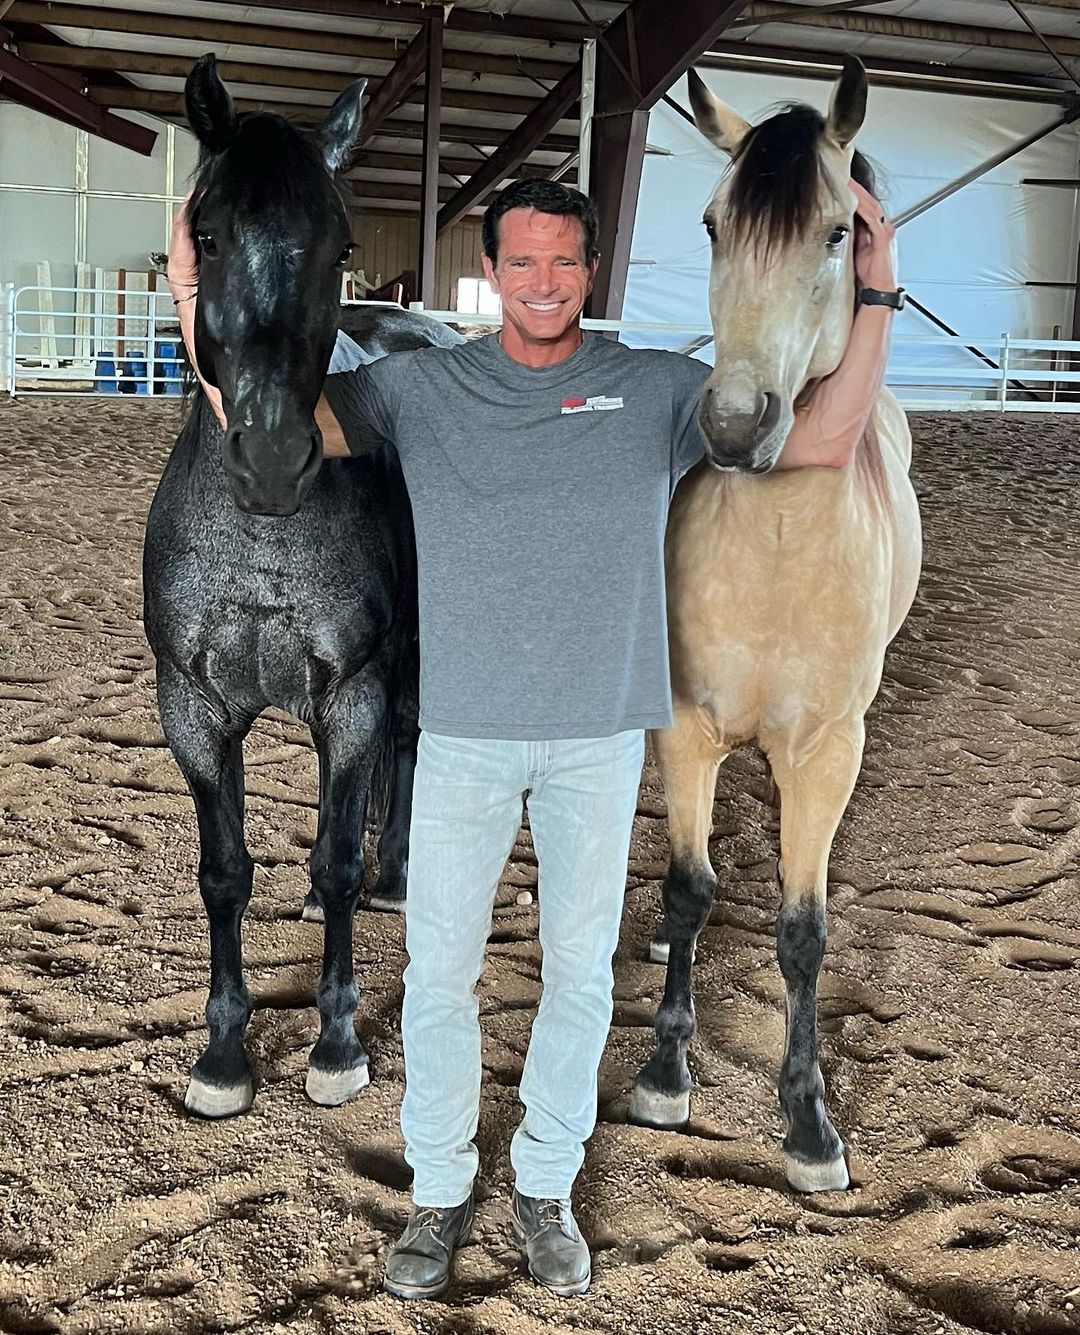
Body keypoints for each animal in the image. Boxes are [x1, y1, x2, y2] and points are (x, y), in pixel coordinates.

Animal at [143, 55, 448, 1118]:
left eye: (341, 243)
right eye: (206, 232)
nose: (274, 456)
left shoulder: (353, 694)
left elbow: (341, 854)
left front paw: (338, 1043)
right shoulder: (194, 711)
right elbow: (225, 872)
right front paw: (224, 1056)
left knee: (406, 747)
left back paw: (400, 873)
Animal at [629, 58, 922, 1193]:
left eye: (839, 232)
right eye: (713, 223)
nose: (732, 424)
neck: (777, 551)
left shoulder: (826, 752)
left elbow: (804, 934)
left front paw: (808, 1120)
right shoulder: (687, 727)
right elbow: (688, 889)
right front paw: (665, 1071)